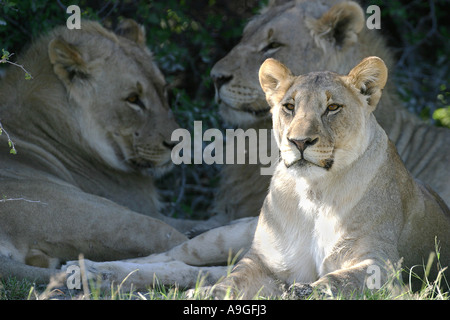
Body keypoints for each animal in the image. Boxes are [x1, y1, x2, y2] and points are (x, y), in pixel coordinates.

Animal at [209, 56, 450, 298]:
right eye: (289, 107)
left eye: (332, 107)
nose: (299, 142)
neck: (313, 191)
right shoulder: (264, 258)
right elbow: (232, 280)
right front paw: (209, 291)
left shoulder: (382, 266)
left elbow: (336, 281)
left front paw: (301, 291)